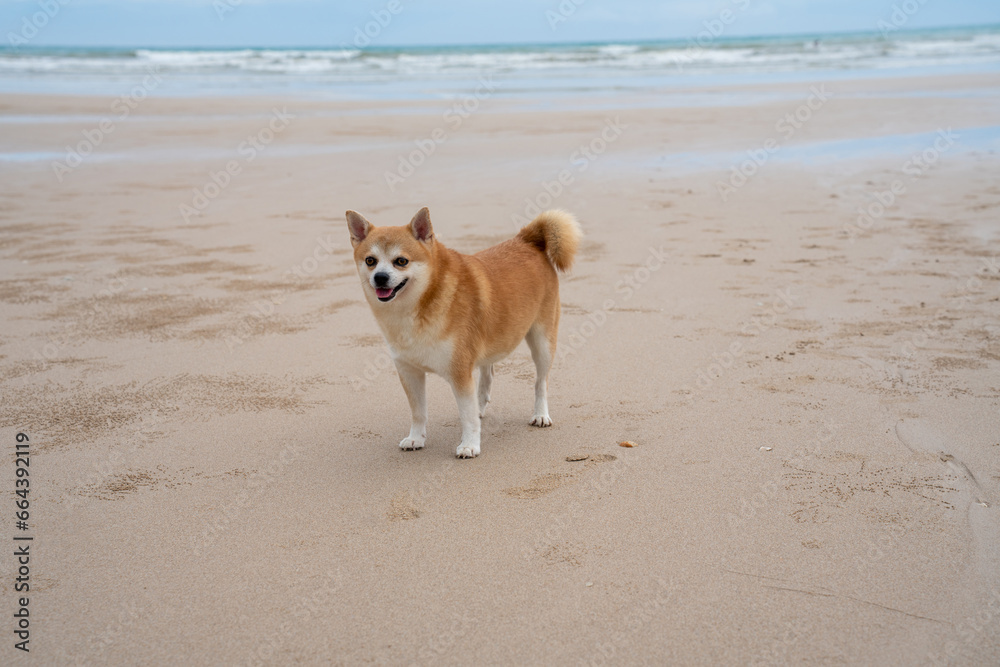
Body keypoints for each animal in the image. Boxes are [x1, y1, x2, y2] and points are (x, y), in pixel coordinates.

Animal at [346, 207, 580, 460]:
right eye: (370, 261)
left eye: (401, 261)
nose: (380, 277)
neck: (421, 304)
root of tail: (527, 240)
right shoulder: (410, 372)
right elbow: (418, 412)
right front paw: (416, 438)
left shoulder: (459, 372)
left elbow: (466, 417)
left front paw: (469, 445)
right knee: (488, 374)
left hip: (542, 342)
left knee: (540, 382)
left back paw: (540, 414)